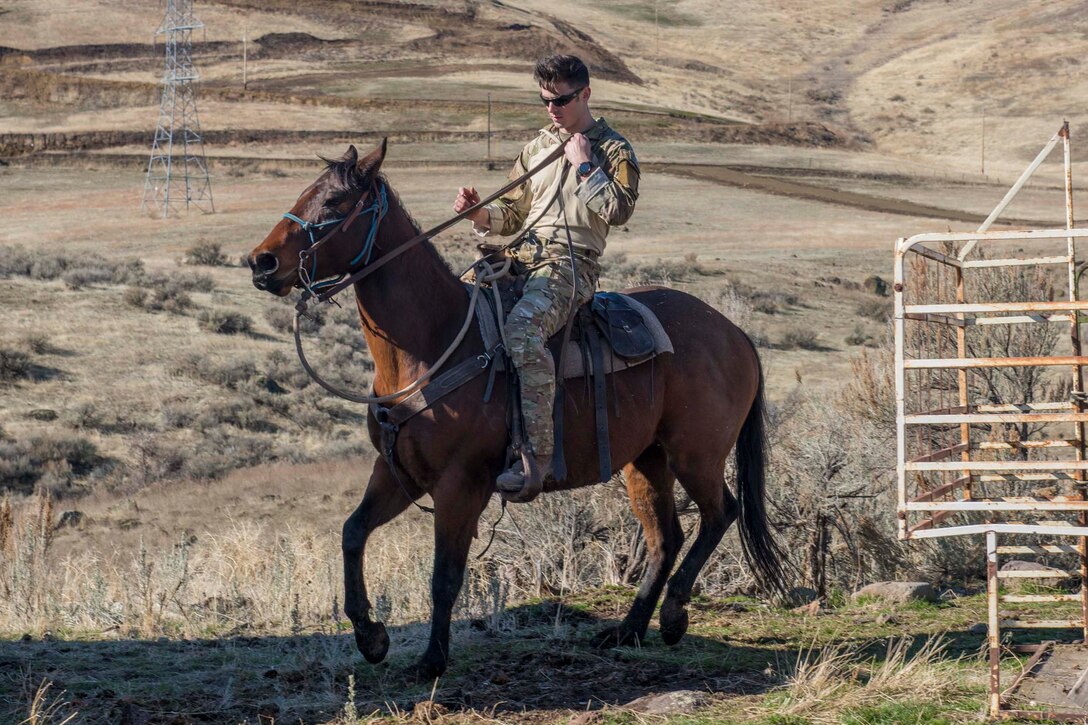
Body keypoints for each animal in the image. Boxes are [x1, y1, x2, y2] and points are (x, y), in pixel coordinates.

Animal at [249, 141, 783, 679]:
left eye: (335, 202)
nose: (262, 262)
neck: (435, 341)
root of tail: (736, 334)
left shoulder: (461, 485)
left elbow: (445, 575)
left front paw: (432, 660)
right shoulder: (398, 472)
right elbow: (353, 532)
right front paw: (371, 636)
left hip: (696, 455)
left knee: (720, 513)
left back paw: (672, 616)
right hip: (646, 461)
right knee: (665, 537)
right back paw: (628, 629)